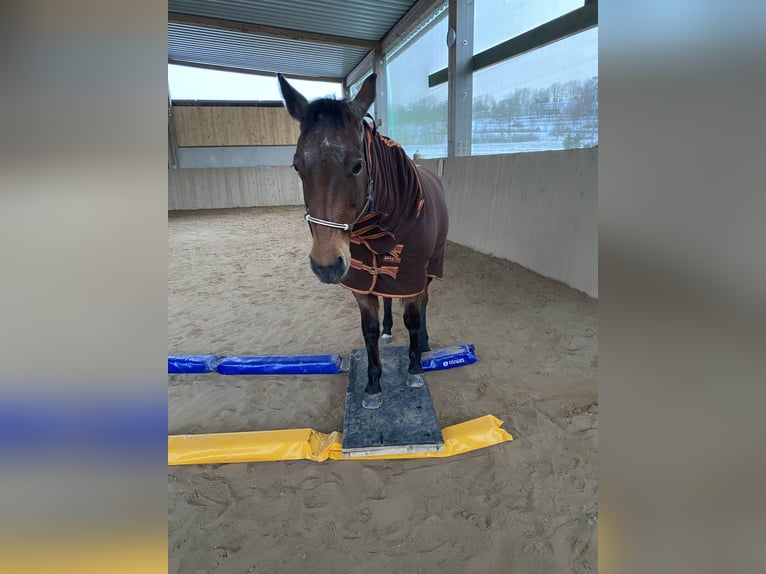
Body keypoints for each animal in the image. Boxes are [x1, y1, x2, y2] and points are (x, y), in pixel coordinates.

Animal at [278, 73, 449, 409]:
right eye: (297, 166)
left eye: (357, 165)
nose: (326, 265)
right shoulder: (361, 282)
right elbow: (368, 330)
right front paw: (373, 385)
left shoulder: (411, 276)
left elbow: (413, 318)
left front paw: (413, 370)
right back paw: (388, 330)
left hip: (431, 266)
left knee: (424, 302)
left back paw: (423, 345)